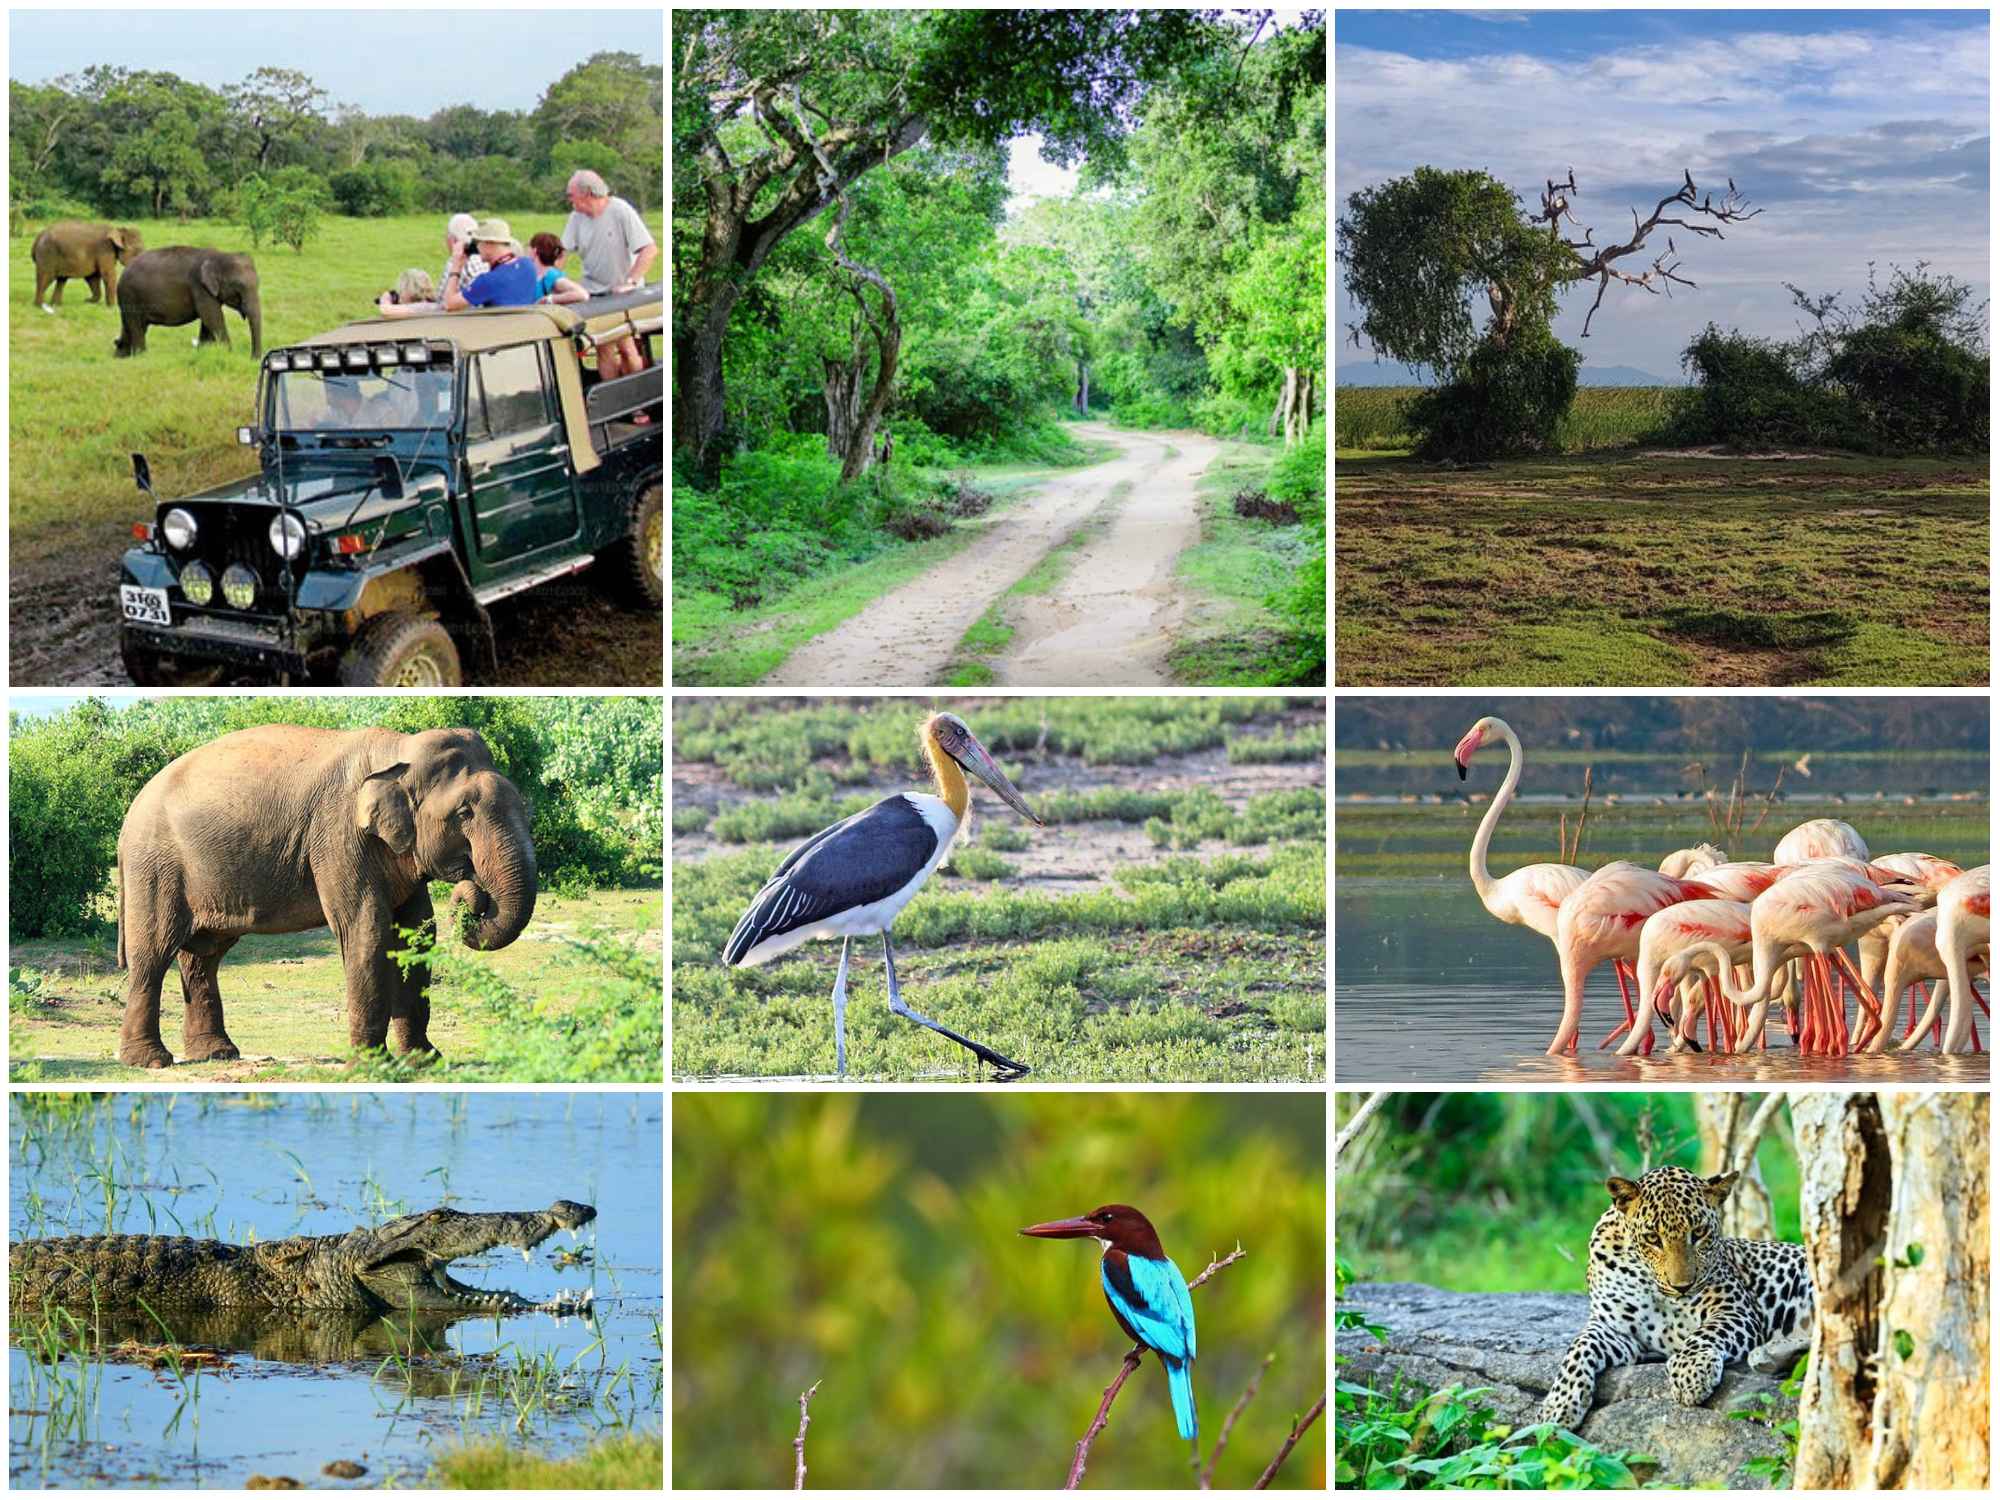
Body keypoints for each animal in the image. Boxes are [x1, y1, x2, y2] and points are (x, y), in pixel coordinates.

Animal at [114, 250, 264, 364]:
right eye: (239, 286)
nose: (253, 360)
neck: (219, 255)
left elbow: (208, 321)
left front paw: (204, 352)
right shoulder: (200, 287)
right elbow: (212, 317)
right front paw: (229, 354)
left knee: (132, 325)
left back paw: (121, 356)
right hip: (130, 295)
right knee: (136, 326)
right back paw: (141, 357)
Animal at [115, 724, 540, 1072]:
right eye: (464, 812)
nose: (472, 894)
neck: (398, 750)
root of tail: (129, 814)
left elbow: (417, 933)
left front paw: (425, 1063)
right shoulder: (339, 836)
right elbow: (366, 930)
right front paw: (370, 1068)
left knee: (204, 955)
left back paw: (217, 1054)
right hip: (155, 867)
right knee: (153, 953)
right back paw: (150, 1061)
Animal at [1528, 1160, 1816, 1432]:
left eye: (1698, 1233)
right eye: (1652, 1238)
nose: (1682, 1286)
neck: (1653, 1286)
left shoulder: (1736, 1308)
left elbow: (1706, 1332)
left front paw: (1690, 1373)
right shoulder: (1615, 1328)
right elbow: (1578, 1347)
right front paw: (1558, 1405)